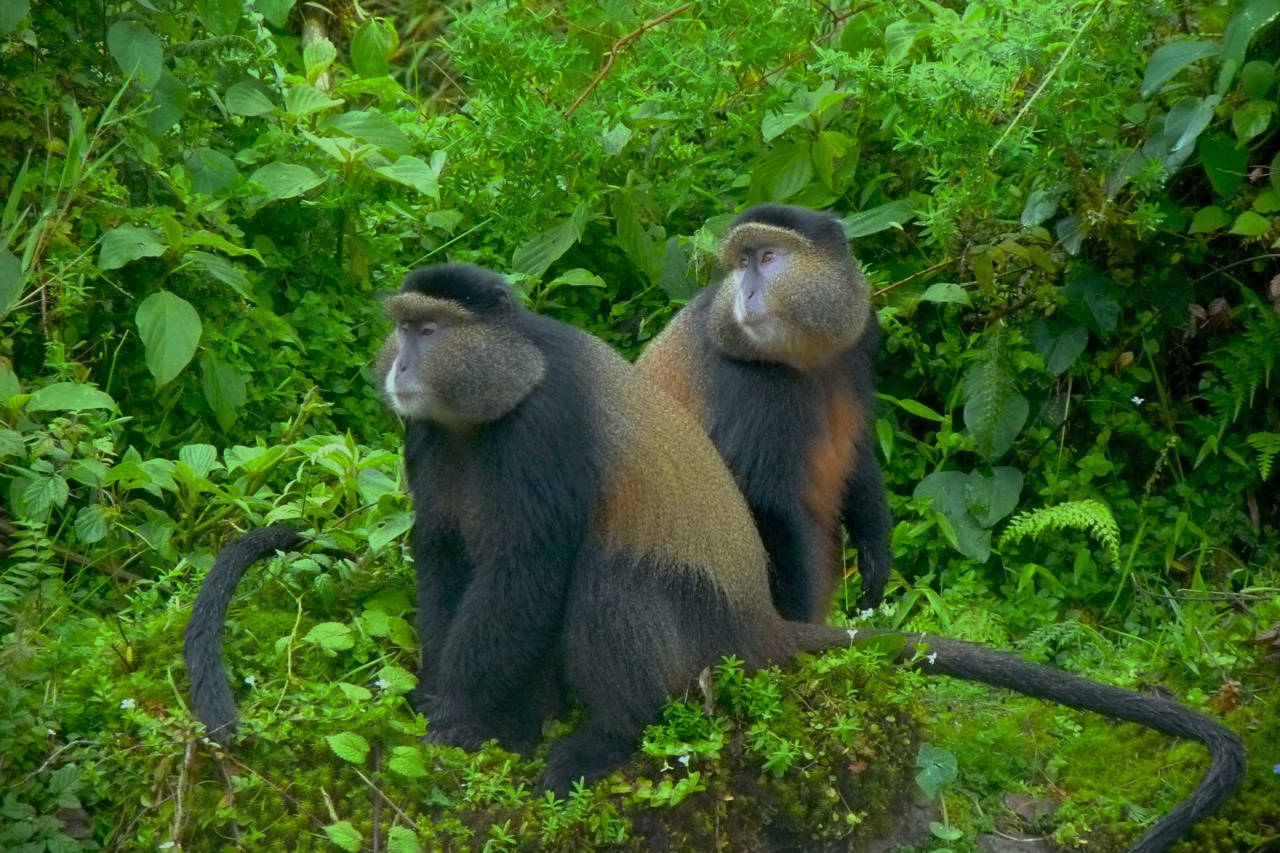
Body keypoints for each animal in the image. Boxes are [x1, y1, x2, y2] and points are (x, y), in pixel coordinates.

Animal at [183, 263, 1242, 850]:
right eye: (402, 326)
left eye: (431, 328)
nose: (400, 365)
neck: (488, 404)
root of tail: (759, 623)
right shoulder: (427, 444)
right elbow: (446, 560)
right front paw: (454, 711)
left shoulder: (544, 434)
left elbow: (527, 571)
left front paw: (451, 718)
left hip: (691, 630)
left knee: (606, 577)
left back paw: (602, 740)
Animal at [637, 203, 891, 620]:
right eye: (743, 263)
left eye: (768, 256)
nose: (747, 292)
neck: (805, 358)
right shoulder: (748, 385)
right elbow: (763, 501)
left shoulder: (859, 341)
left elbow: (858, 450)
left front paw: (876, 554)